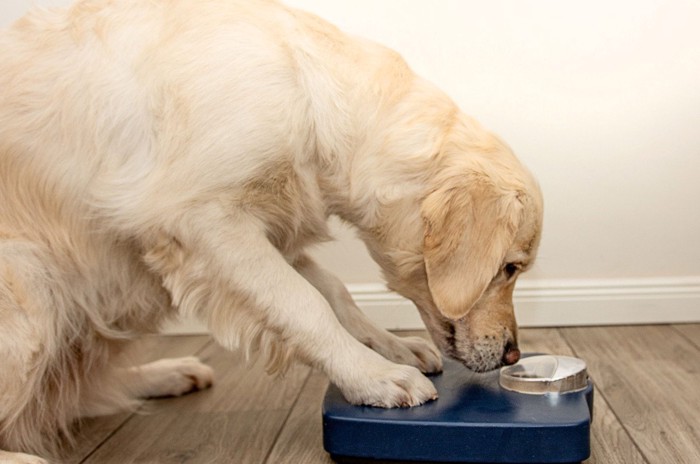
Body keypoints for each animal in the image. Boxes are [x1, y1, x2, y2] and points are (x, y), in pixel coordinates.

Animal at [0, 0, 544, 460]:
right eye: (509, 268)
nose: (514, 353)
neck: (308, 92)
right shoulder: (208, 224)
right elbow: (305, 307)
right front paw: (373, 375)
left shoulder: (272, 230)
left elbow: (335, 293)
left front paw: (386, 345)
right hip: (32, 285)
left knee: (69, 397)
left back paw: (167, 372)